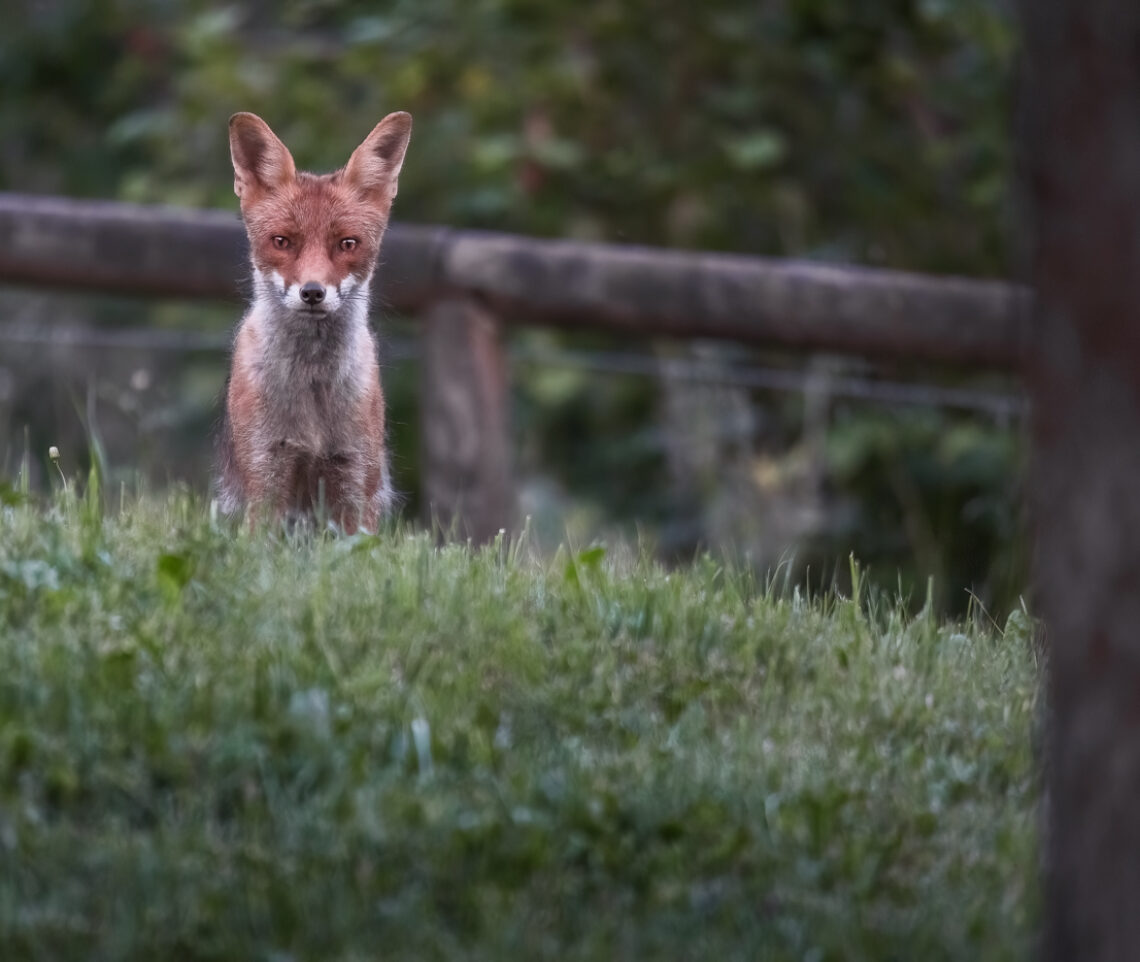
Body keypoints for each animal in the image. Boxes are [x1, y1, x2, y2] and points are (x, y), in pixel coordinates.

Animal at [215, 112, 412, 537]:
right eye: (282, 241)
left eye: (348, 244)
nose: (312, 293)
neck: (312, 387)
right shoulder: (266, 475)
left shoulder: (354, 481)